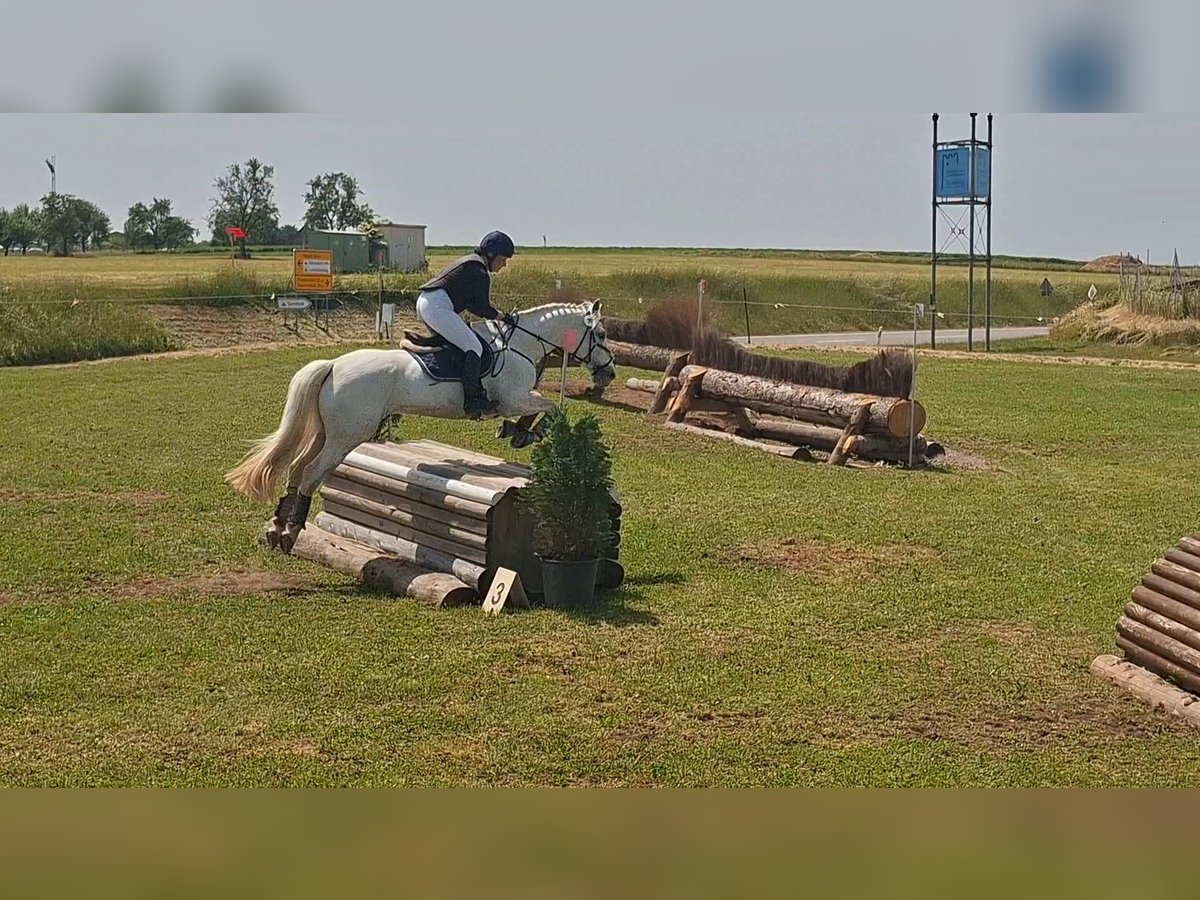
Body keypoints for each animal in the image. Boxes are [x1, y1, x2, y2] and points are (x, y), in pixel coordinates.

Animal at [224, 300, 617, 553]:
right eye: (600, 335)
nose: (609, 373)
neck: (520, 344)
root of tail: (334, 365)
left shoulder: (520, 399)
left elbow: (547, 409)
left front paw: (517, 432)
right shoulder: (515, 398)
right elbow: (553, 408)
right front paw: (524, 432)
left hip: (327, 432)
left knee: (296, 466)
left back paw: (277, 525)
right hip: (347, 435)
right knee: (309, 472)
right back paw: (290, 531)